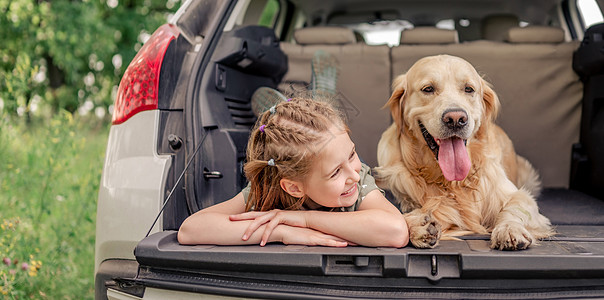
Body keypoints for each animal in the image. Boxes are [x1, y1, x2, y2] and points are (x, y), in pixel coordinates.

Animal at [376, 55, 556, 250]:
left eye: (469, 89)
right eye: (428, 89)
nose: (455, 119)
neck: (453, 182)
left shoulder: (515, 195)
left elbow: (515, 207)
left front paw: (509, 229)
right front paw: (418, 225)